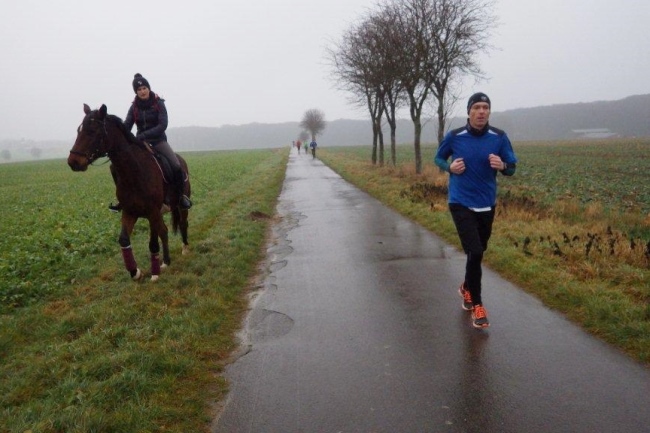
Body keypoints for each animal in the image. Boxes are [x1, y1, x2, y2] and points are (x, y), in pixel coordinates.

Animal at [67, 104, 190, 282]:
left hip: (180, 206)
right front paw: (135, 271)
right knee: (165, 231)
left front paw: (154, 273)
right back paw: (166, 261)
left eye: (94, 130)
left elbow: (153, 243)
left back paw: (185, 248)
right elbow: (124, 239)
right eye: (79, 130)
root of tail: (180, 159)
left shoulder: (152, 212)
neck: (134, 171)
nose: (73, 161)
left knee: (182, 223)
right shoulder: (130, 211)